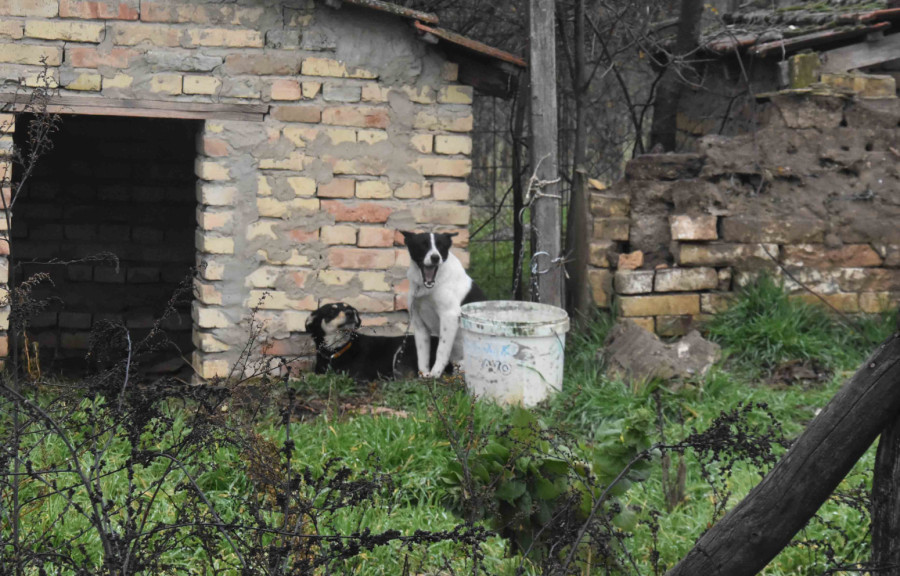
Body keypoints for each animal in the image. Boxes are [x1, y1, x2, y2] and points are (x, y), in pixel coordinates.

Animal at [400, 230, 486, 378]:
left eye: (441, 246)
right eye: (423, 244)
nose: (435, 258)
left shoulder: (449, 316)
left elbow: (442, 349)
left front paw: (435, 373)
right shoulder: (419, 323)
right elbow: (422, 354)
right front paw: (424, 376)